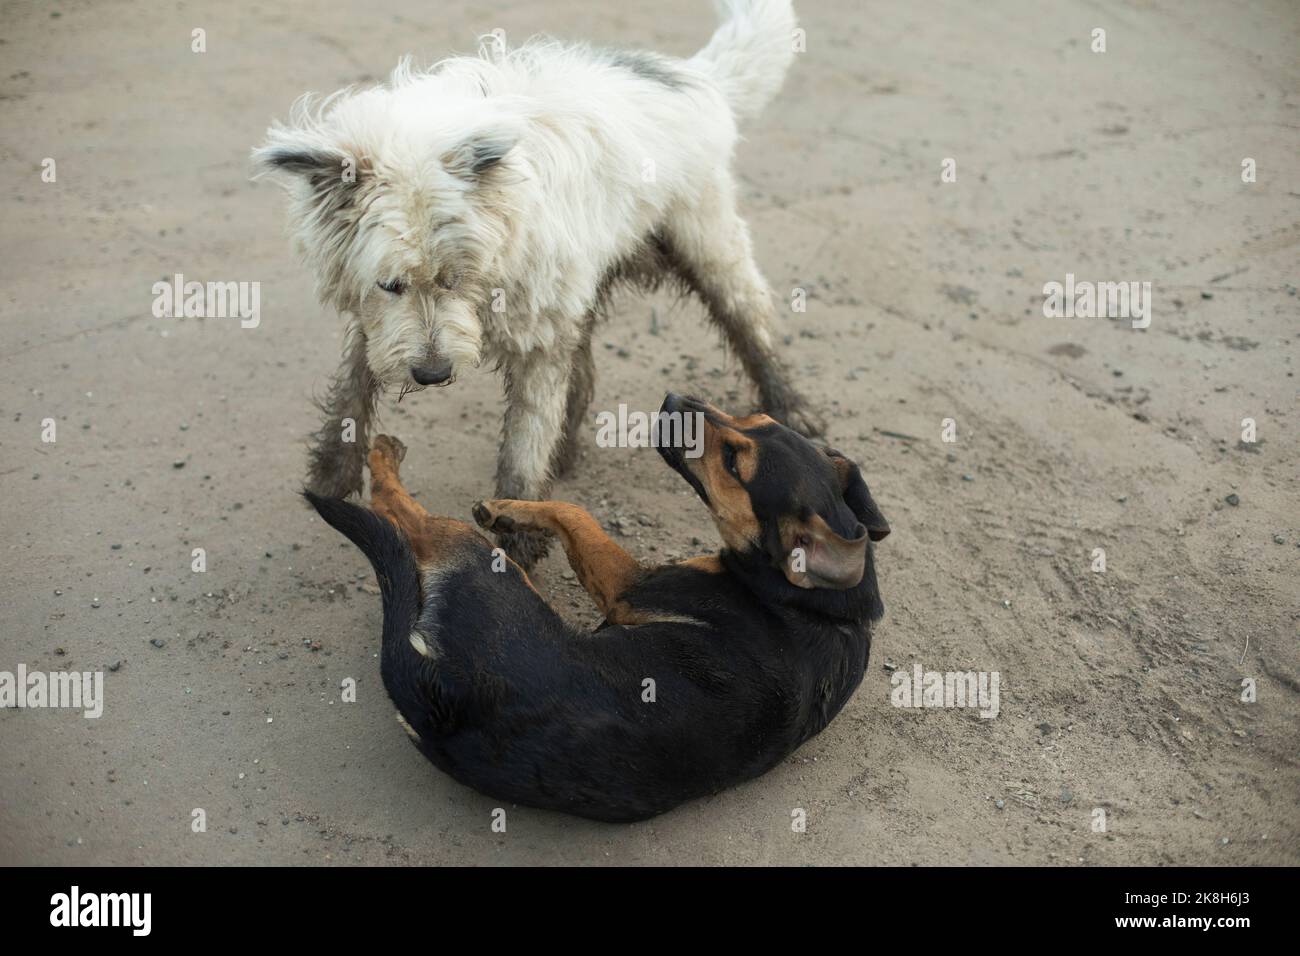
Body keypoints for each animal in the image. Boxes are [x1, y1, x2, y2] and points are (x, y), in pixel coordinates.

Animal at [254, 0, 821, 567]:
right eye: (390, 284)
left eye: (456, 278)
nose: (433, 374)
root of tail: (693, 77)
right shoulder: (383, 323)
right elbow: (354, 384)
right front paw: (332, 473)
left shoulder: (537, 333)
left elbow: (525, 442)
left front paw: (519, 532)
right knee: (584, 369)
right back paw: (565, 450)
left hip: (707, 243)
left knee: (751, 325)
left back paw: (792, 409)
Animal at [309, 395, 889, 822]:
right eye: (758, 418)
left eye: (732, 462)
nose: (674, 398)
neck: (819, 604)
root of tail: (444, 701)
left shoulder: (629, 586)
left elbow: (574, 511)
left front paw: (508, 508)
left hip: (481, 561)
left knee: (403, 514)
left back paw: (384, 458)